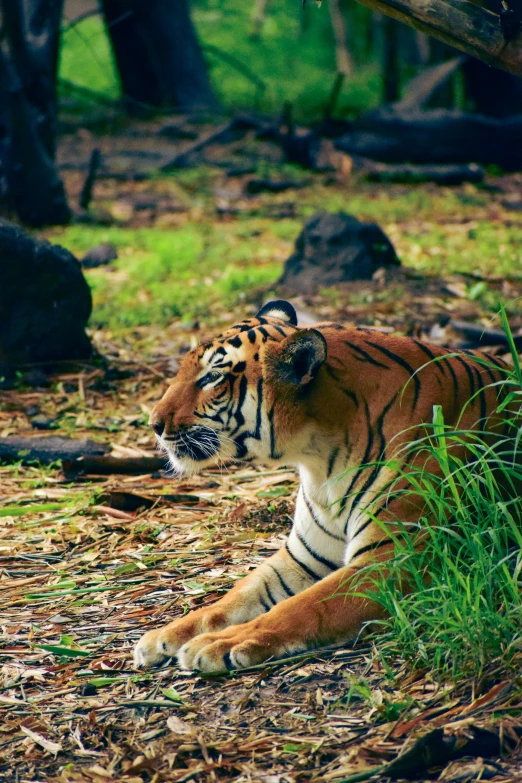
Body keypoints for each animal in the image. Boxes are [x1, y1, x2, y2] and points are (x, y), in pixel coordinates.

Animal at [132, 300, 506, 672]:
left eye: (212, 377)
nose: (153, 424)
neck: (321, 460)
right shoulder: (302, 557)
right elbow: (236, 595)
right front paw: (165, 635)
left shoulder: (394, 558)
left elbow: (303, 607)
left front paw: (218, 644)